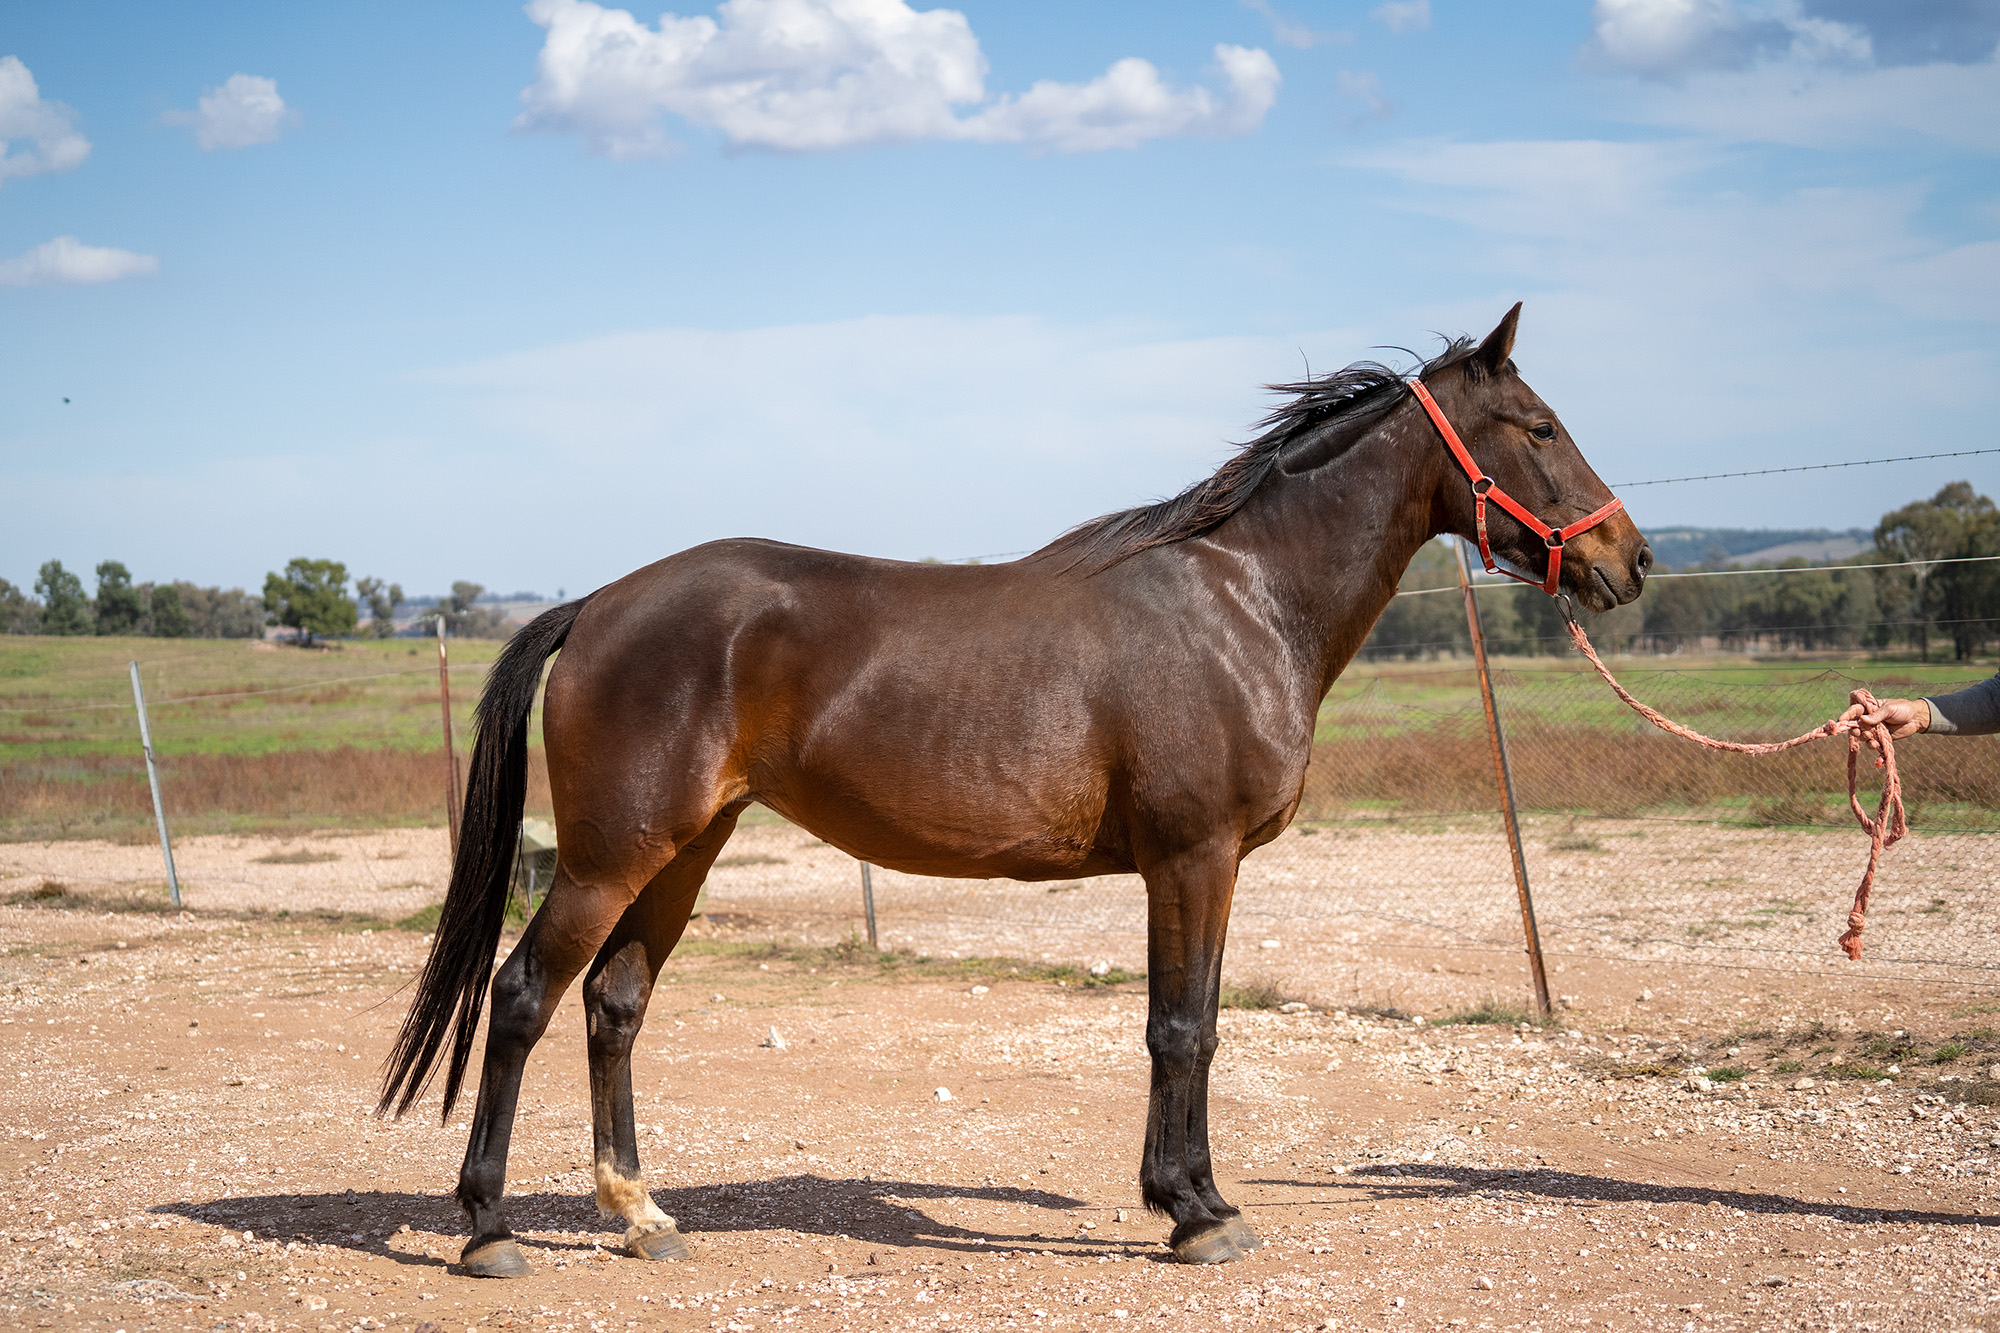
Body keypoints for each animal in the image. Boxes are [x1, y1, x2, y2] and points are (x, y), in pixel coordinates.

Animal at [379, 303, 1651, 1274]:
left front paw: (1197, 1197)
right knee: (523, 996)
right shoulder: (1190, 857)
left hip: (684, 850)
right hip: (609, 854)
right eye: (1538, 427)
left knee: (614, 1002)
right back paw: (487, 1229)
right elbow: (1178, 1027)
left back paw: (641, 1214)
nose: (1628, 560)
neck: (1241, 599)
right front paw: (1194, 1213)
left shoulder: (1208, 865)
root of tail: (596, 601)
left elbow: (1199, 1028)